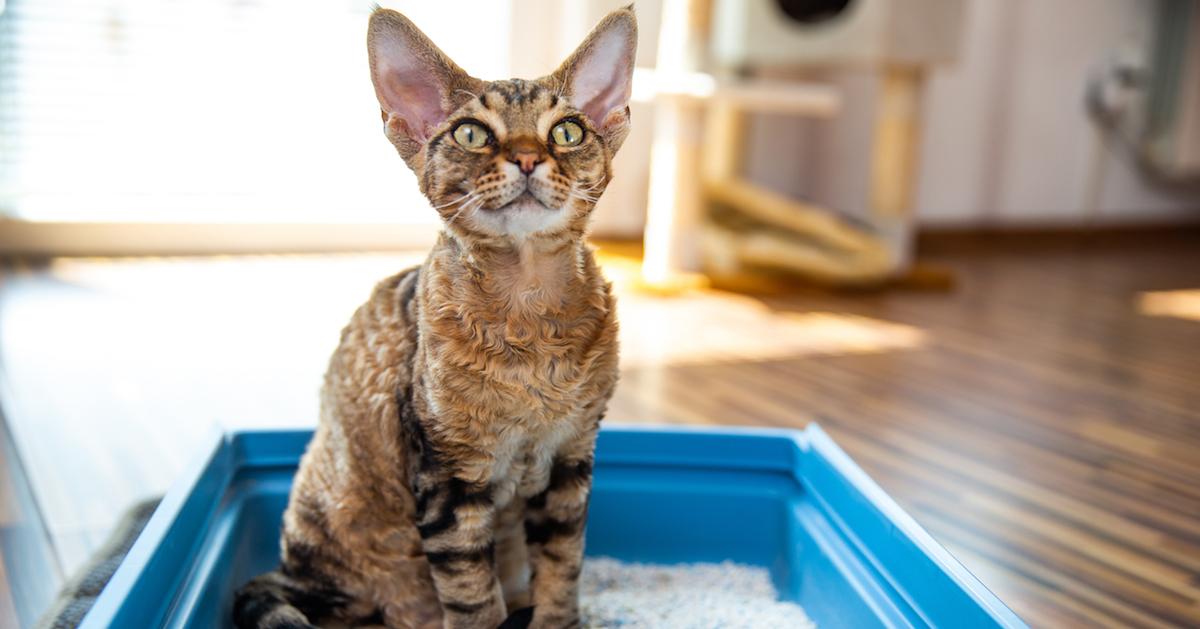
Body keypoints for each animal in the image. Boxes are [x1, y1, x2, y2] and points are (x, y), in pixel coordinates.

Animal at [226, 4, 638, 629]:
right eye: (472, 133)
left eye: (567, 131)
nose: (527, 157)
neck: (531, 322)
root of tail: (290, 568)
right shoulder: (447, 476)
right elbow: (472, 595)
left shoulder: (571, 459)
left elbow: (563, 570)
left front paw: (556, 619)